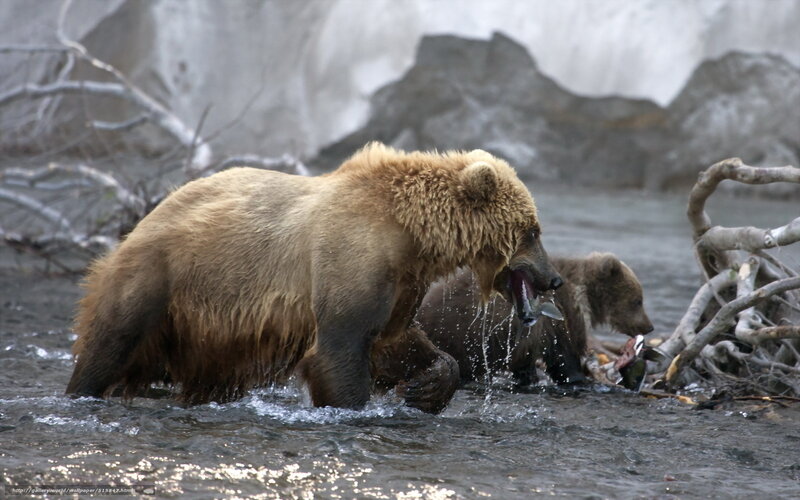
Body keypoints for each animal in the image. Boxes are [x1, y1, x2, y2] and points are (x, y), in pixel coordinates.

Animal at [65, 142, 563, 414]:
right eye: (533, 230)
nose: (554, 278)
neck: (413, 235)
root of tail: (143, 220)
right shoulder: (351, 255)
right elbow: (340, 348)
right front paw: (354, 405)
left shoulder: (400, 280)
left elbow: (394, 339)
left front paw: (429, 385)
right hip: (161, 278)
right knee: (111, 341)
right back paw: (82, 391)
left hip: (207, 331)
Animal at [416, 252, 653, 386]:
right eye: (637, 300)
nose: (649, 327)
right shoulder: (563, 313)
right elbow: (564, 354)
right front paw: (579, 377)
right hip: (461, 335)